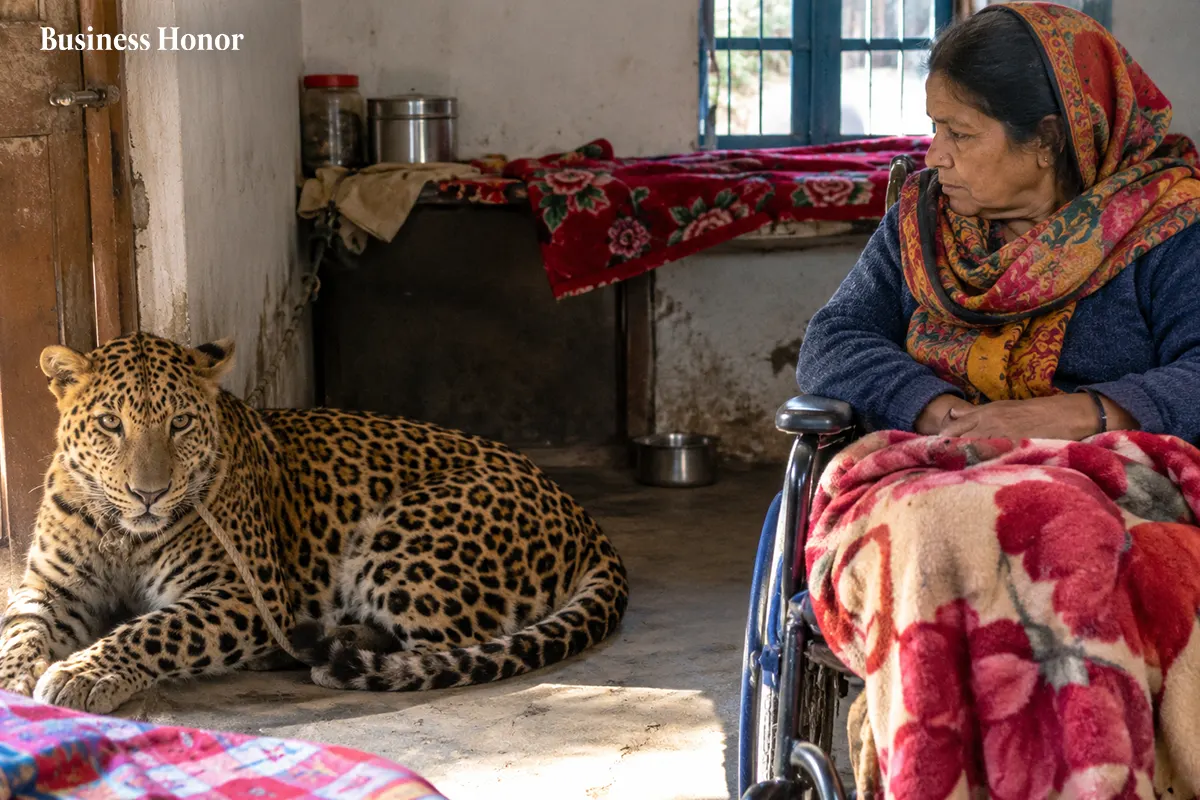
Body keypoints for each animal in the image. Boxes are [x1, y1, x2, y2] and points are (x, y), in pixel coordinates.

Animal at [0, 332, 628, 714]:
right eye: (110, 423)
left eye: (180, 423)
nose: (148, 494)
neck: (122, 533)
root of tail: (576, 510)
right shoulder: (53, 588)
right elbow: (20, 628)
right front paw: (13, 682)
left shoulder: (244, 596)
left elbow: (155, 629)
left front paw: (84, 675)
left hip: (401, 540)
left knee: (450, 644)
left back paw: (327, 651)